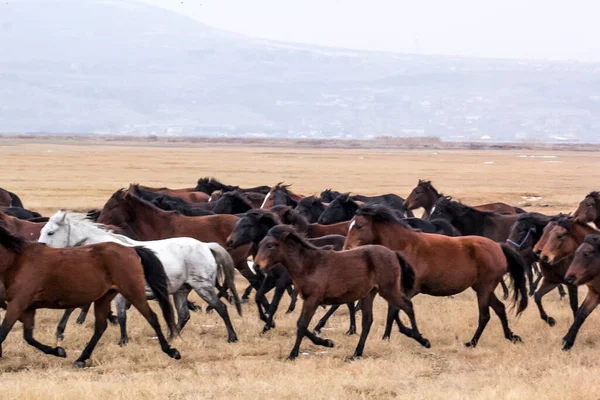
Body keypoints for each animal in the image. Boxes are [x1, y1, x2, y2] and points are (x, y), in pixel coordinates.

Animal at [0, 223, 180, 368]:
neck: (19, 261)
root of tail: (131, 249)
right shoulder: (27, 307)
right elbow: (28, 337)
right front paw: (58, 350)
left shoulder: (17, 304)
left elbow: (4, 331)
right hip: (105, 297)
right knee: (100, 326)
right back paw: (81, 358)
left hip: (132, 291)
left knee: (152, 317)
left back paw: (171, 351)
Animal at [38, 211, 241, 346]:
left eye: (50, 232)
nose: (39, 250)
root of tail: (205, 246)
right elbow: (72, 309)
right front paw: (59, 334)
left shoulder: (118, 294)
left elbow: (121, 316)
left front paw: (122, 341)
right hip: (181, 291)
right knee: (184, 314)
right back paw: (171, 337)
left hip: (203, 287)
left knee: (221, 308)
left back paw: (232, 337)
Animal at [253, 225, 432, 360]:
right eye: (260, 243)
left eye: (271, 245)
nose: (256, 266)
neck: (309, 265)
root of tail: (394, 253)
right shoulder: (308, 299)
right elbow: (300, 324)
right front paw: (326, 342)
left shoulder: (312, 300)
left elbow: (302, 325)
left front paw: (293, 354)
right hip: (370, 294)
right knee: (368, 321)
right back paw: (356, 353)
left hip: (388, 290)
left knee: (407, 306)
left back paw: (421, 339)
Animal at [344, 205, 528, 348]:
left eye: (359, 226)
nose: (346, 249)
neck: (405, 247)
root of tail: (498, 247)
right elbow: (393, 312)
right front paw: (386, 338)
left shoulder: (409, 290)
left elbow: (395, 311)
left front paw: (413, 335)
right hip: (481, 288)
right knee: (500, 308)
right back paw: (511, 336)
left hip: (484, 288)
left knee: (485, 315)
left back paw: (472, 342)